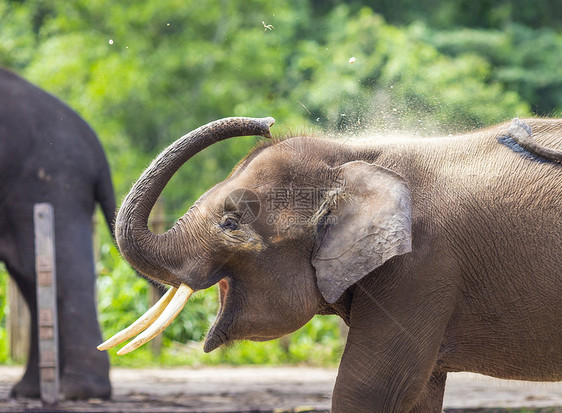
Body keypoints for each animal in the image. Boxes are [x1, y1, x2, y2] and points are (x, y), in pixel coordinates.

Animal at [99, 114, 556, 410]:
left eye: (230, 223)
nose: (266, 121)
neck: (355, 156)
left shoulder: (421, 268)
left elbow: (368, 387)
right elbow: (418, 391)